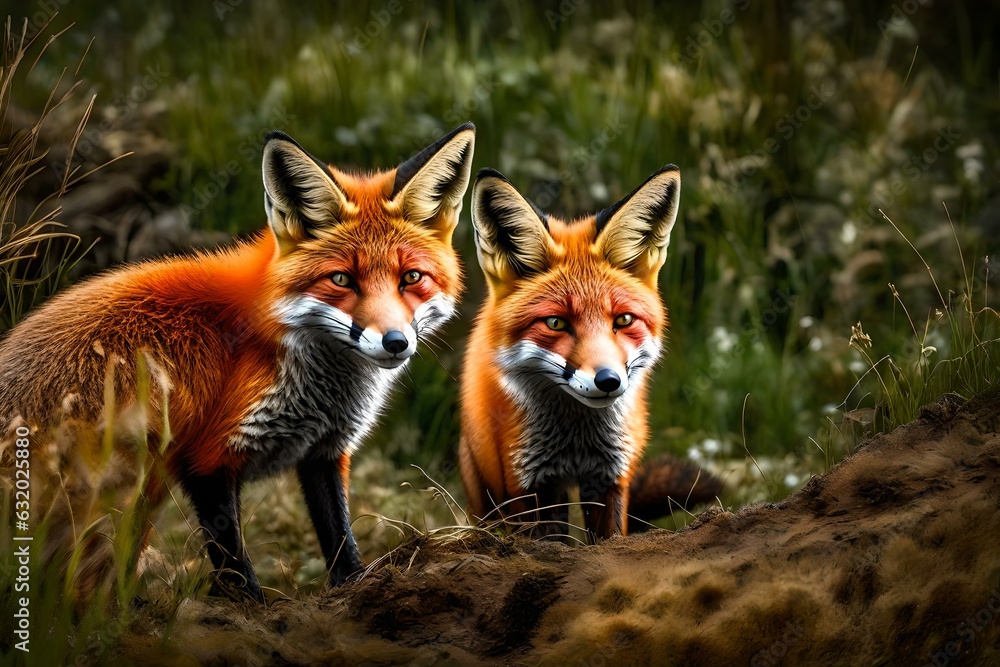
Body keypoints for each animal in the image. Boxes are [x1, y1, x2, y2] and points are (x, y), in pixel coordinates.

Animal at [0, 122, 476, 603]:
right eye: (342, 279)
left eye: (411, 278)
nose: (395, 342)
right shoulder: (208, 457)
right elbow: (234, 563)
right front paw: (252, 609)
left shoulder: (324, 451)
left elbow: (340, 537)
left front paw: (356, 589)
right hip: (133, 485)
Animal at [460, 165, 708, 540]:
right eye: (556, 323)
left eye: (623, 320)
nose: (608, 381)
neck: (576, 441)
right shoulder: (530, 482)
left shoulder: (609, 478)